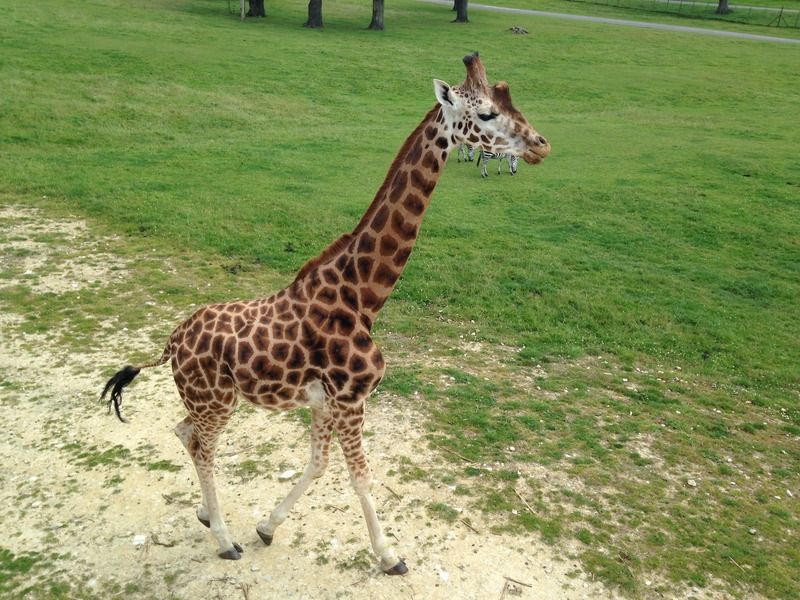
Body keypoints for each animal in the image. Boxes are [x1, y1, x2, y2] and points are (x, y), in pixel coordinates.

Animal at [101, 52, 550, 575]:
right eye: (487, 114)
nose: (541, 145)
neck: (364, 296)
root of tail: (170, 342)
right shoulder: (352, 398)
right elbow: (360, 476)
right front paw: (389, 556)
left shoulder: (323, 402)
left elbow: (318, 464)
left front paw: (267, 527)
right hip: (217, 400)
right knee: (202, 446)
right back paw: (225, 541)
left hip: (206, 402)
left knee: (184, 431)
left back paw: (208, 517)